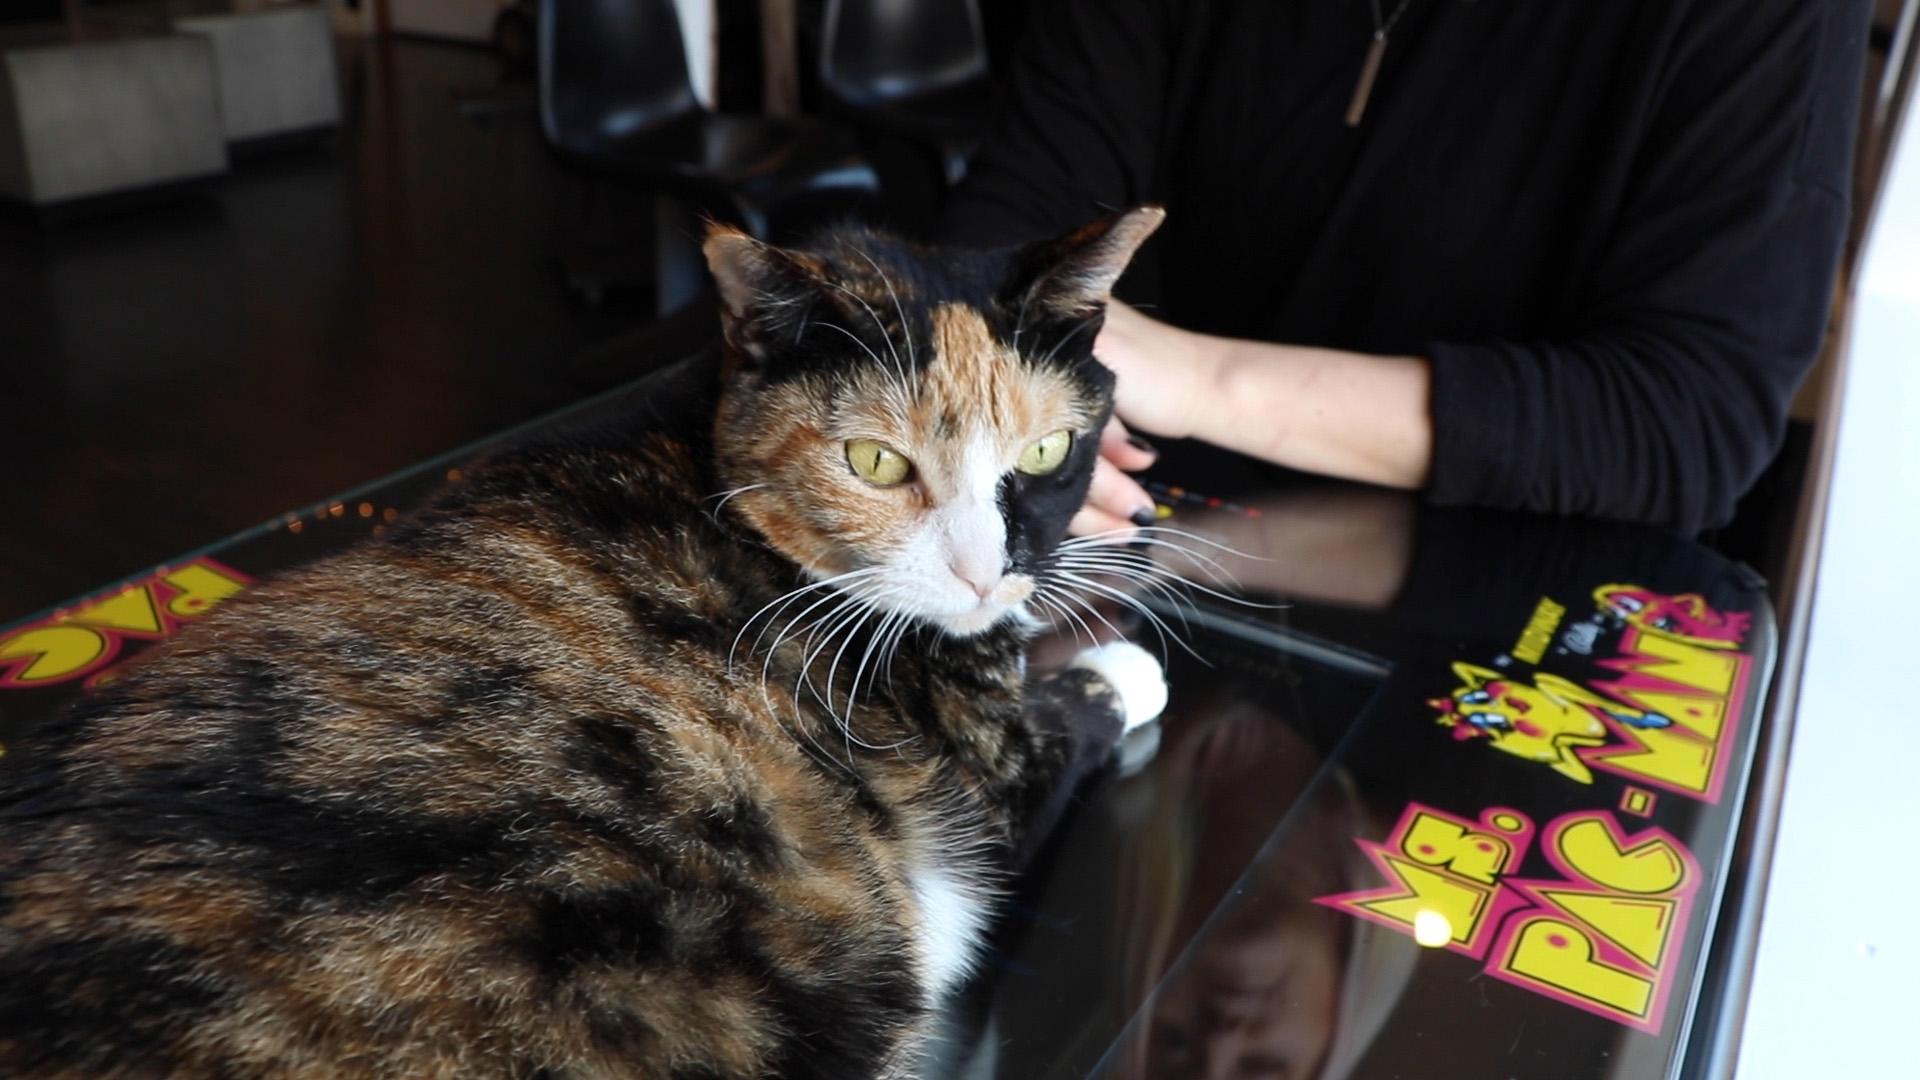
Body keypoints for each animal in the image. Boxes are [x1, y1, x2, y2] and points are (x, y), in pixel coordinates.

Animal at [0, 205, 1167, 1068]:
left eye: (1049, 450)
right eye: (877, 464)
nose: (985, 571)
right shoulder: (986, 774)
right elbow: (1070, 713)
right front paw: (1123, 663)